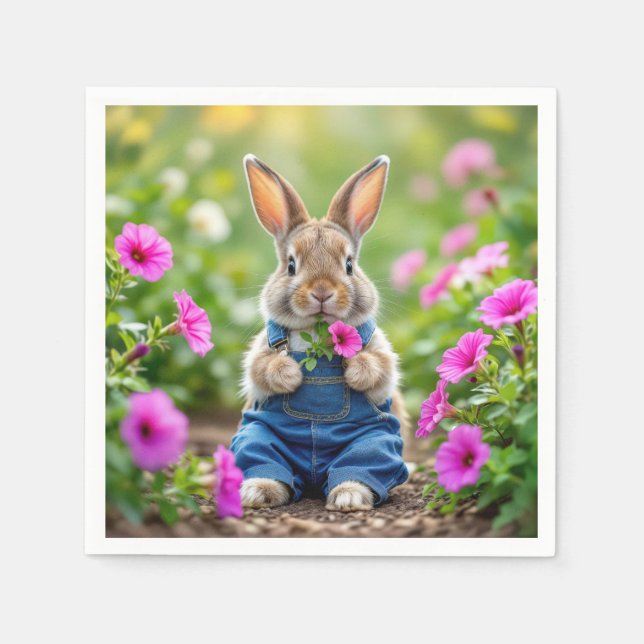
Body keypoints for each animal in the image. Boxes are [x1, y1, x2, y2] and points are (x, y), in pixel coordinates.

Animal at [231, 154, 410, 513]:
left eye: (349, 265)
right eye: (291, 265)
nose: (323, 292)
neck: (317, 333)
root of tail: (314, 476)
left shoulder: (379, 348)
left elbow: (380, 365)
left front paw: (354, 370)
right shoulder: (261, 352)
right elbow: (261, 366)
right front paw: (290, 374)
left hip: (377, 439)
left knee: (366, 463)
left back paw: (349, 495)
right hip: (255, 432)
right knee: (260, 457)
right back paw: (257, 492)